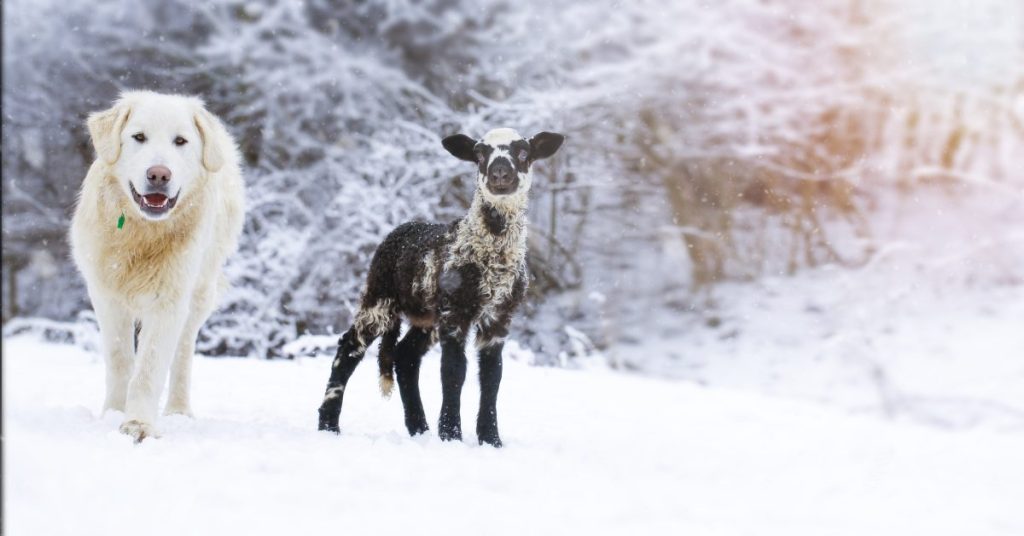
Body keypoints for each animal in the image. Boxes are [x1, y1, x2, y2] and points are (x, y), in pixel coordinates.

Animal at [70, 92, 245, 442]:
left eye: (180, 141)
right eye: (139, 137)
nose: (159, 175)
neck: (143, 234)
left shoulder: (169, 299)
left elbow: (149, 367)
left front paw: (138, 424)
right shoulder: (106, 295)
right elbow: (120, 359)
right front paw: (114, 413)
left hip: (199, 292)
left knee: (182, 353)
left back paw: (178, 411)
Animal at [315, 128, 565, 446]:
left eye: (523, 153)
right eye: (479, 154)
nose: (499, 172)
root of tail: (400, 229)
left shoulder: (499, 316)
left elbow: (492, 376)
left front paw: (490, 439)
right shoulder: (455, 311)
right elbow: (454, 371)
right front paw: (451, 434)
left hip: (427, 316)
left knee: (405, 356)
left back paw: (419, 429)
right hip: (379, 296)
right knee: (349, 348)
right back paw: (328, 425)